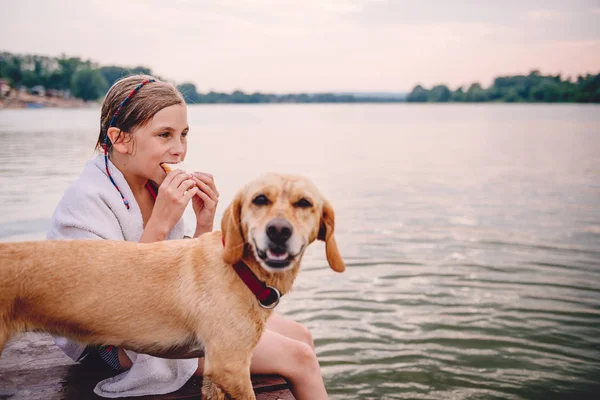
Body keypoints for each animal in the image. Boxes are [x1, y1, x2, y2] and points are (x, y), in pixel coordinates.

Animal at [0, 173, 344, 398]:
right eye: (260, 199)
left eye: (304, 203)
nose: (279, 231)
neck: (241, 270)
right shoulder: (230, 366)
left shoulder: (216, 373)